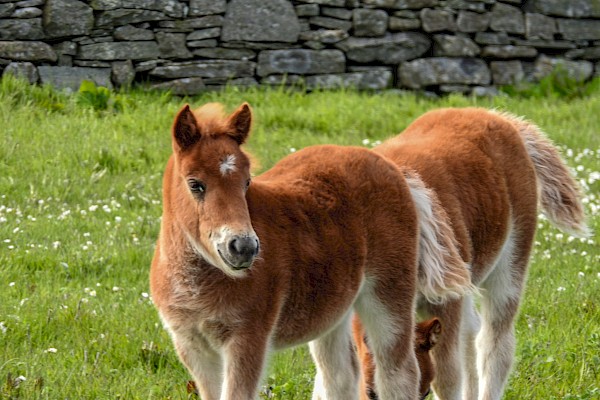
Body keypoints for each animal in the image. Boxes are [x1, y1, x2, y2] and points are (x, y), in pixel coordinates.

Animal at [146, 101, 474, 398]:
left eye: (247, 183)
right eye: (195, 184)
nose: (243, 247)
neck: (199, 282)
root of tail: (392, 166)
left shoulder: (248, 338)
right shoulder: (191, 345)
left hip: (389, 294)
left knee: (397, 373)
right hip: (336, 308)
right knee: (342, 376)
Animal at [366, 108, 592, 398]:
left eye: (425, 393)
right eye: (370, 392)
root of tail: (503, 118)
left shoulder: (443, 303)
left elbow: (448, 377)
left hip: (509, 264)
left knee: (494, 344)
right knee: (471, 334)